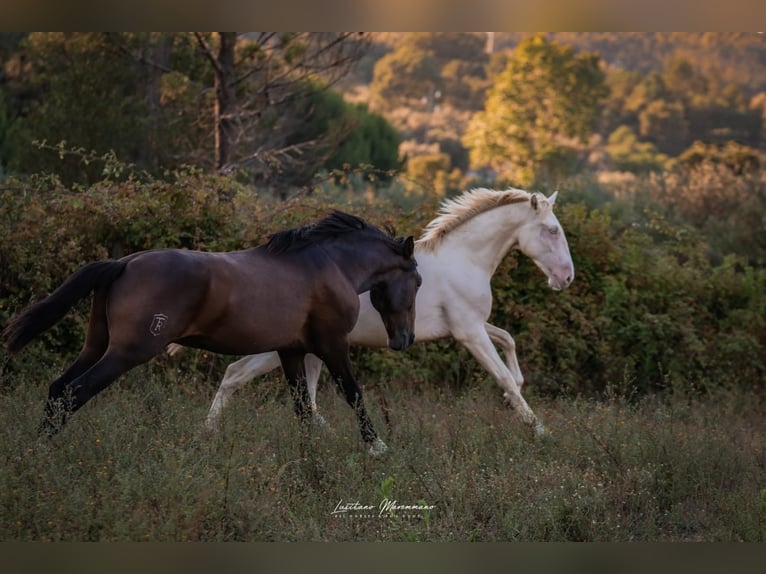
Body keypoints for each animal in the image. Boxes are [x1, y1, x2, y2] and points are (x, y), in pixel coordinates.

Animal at [3, 212, 424, 454]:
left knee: (58, 389)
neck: (330, 265)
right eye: (418, 281)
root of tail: (123, 263)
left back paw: (36, 450)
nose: (404, 340)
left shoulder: (290, 350)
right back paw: (43, 452)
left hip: (97, 345)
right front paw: (378, 448)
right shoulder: (332, 346)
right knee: (75, 391)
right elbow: (354, 395)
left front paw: (311, 457)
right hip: (127, 352)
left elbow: (303, 408)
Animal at [201, 189, 572, 436]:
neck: (464, 260)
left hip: (305, 351)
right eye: (552, 230)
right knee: (236, 374)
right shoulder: (469, 332)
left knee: (278, 387)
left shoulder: (474, 326)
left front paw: (518, 400)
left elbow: (508, 342)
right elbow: (503, 376)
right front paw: (538, 429)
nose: (566, 278)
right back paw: (208, 432)